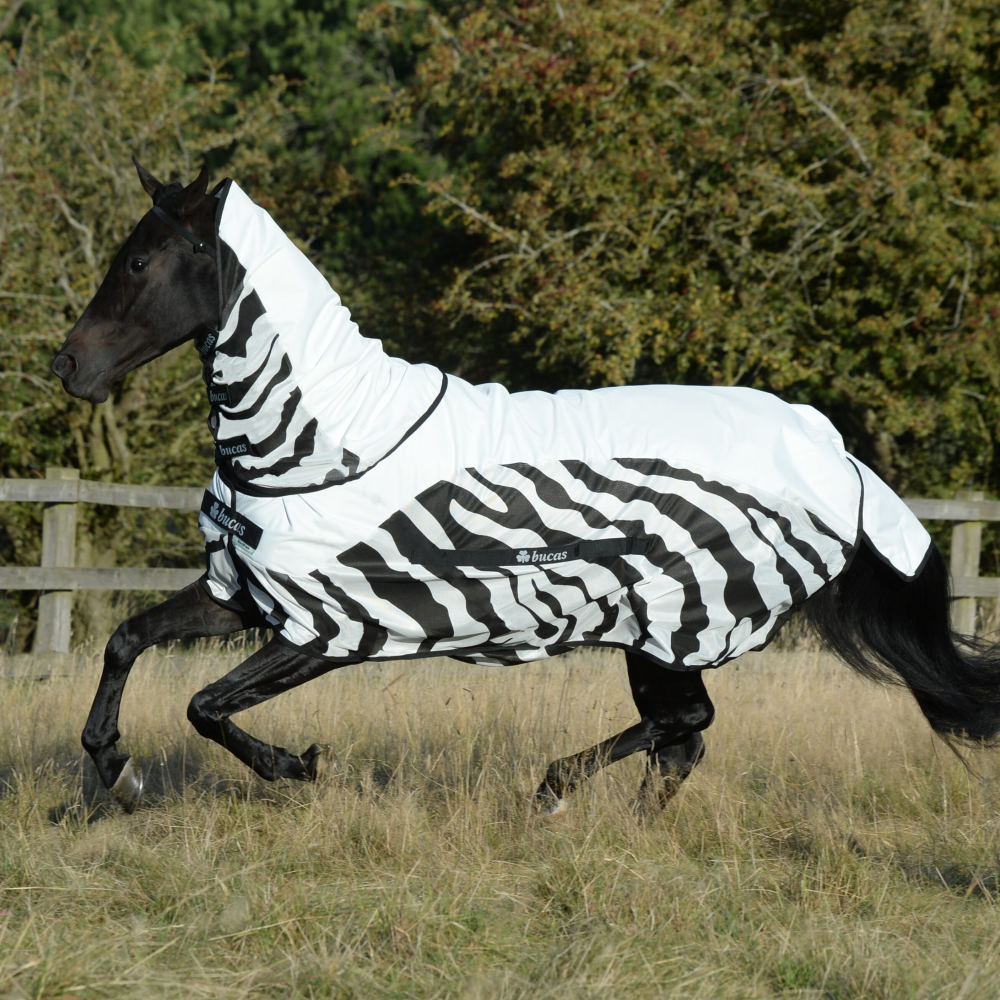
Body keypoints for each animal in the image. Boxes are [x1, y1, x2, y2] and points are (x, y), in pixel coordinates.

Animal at [50, 160, 1000, 816]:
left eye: (142, 262)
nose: (67, 366)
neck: (323, 443)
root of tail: (836, 458)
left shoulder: (333, 629)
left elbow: (205, 704)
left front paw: (297, 768)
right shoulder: (242, 597)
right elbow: (128, 644)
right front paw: (116, 771)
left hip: (667, 628)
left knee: (683, 728)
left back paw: (551, 792)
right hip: (656, 638)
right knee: (681, 743)